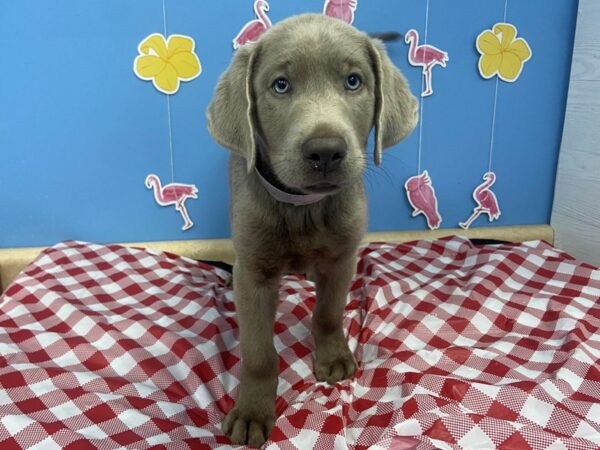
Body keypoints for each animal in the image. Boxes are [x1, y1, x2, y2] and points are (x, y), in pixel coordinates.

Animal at [206, 13, 418, 446]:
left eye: (353, 81)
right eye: (280, 85)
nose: (325, 151)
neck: (303, 209)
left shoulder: (342, 259)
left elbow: (328, 312)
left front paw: (333, 356)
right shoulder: (254, 274)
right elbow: (257, 352)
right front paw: (252, 411)